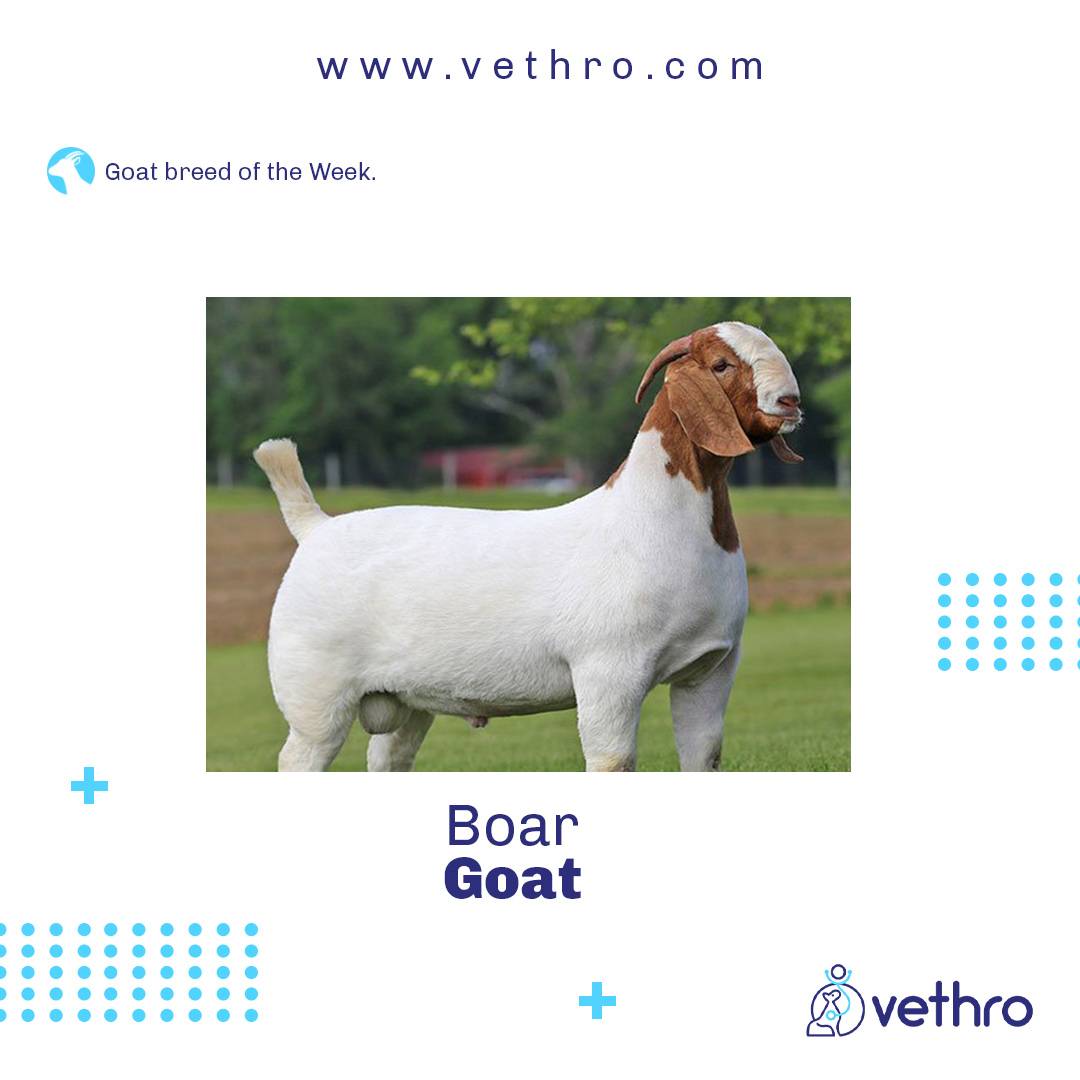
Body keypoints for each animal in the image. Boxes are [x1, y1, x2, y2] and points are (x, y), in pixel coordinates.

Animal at [253, 321, 802, 772]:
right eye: (721, 363)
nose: (791, 402)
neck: (652, 516)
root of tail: (316, 528)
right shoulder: (609, 672)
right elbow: (613, 760)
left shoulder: (711, 670)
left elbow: (703, 755)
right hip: (316, 696)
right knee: (299, 757)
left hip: (407, 702)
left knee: (389, 758)